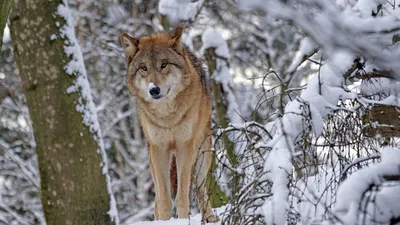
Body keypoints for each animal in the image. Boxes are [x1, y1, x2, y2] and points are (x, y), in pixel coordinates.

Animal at [119, 23, 217, 222]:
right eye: (144, 68)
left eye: (164, 64)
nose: (154, 90)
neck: (167, 117)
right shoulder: (159, 149)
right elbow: (164, 199)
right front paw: (164, 220)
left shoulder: (184, 147)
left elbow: (181, 196)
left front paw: (183, 219)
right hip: (152, 160)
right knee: (157, 198)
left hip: (202, 154)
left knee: (200, 188)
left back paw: (210, 218)